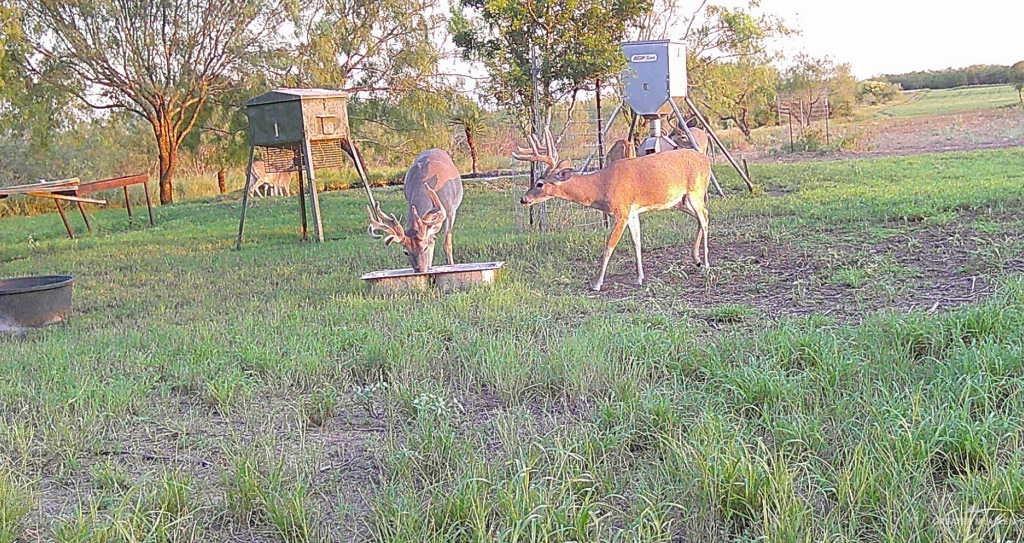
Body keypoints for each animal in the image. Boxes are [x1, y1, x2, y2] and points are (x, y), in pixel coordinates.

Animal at [512, 128, 712, 290]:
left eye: (540, 183)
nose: (523, 199)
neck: (602, 186)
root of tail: (706, 160)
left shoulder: (621, 212)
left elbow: (609, 245)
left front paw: (597, 283)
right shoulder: (632, 212)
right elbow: (637, 242)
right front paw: (640, 277)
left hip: (695, 191)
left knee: (704, 218)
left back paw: (706, 263)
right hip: (680, 201)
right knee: (703, 216)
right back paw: (696, 259)